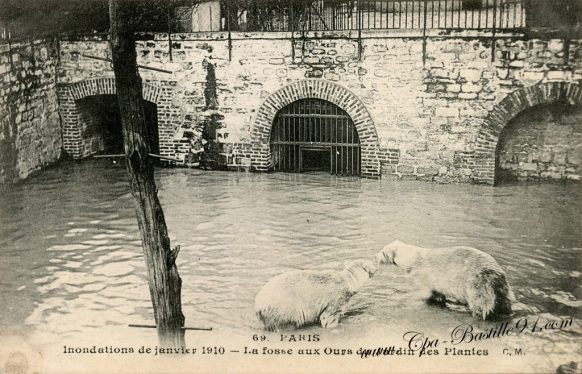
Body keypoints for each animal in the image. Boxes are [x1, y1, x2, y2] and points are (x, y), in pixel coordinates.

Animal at [376, 241, 512, 320]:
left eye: (382, 251)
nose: (375, 256)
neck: (414, 258)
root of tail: (495, 273)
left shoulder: (422, 273)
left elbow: (424, 292)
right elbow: (438, 295)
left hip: (477, 284)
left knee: (481, 304)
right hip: (502, 287)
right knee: (504, 302)